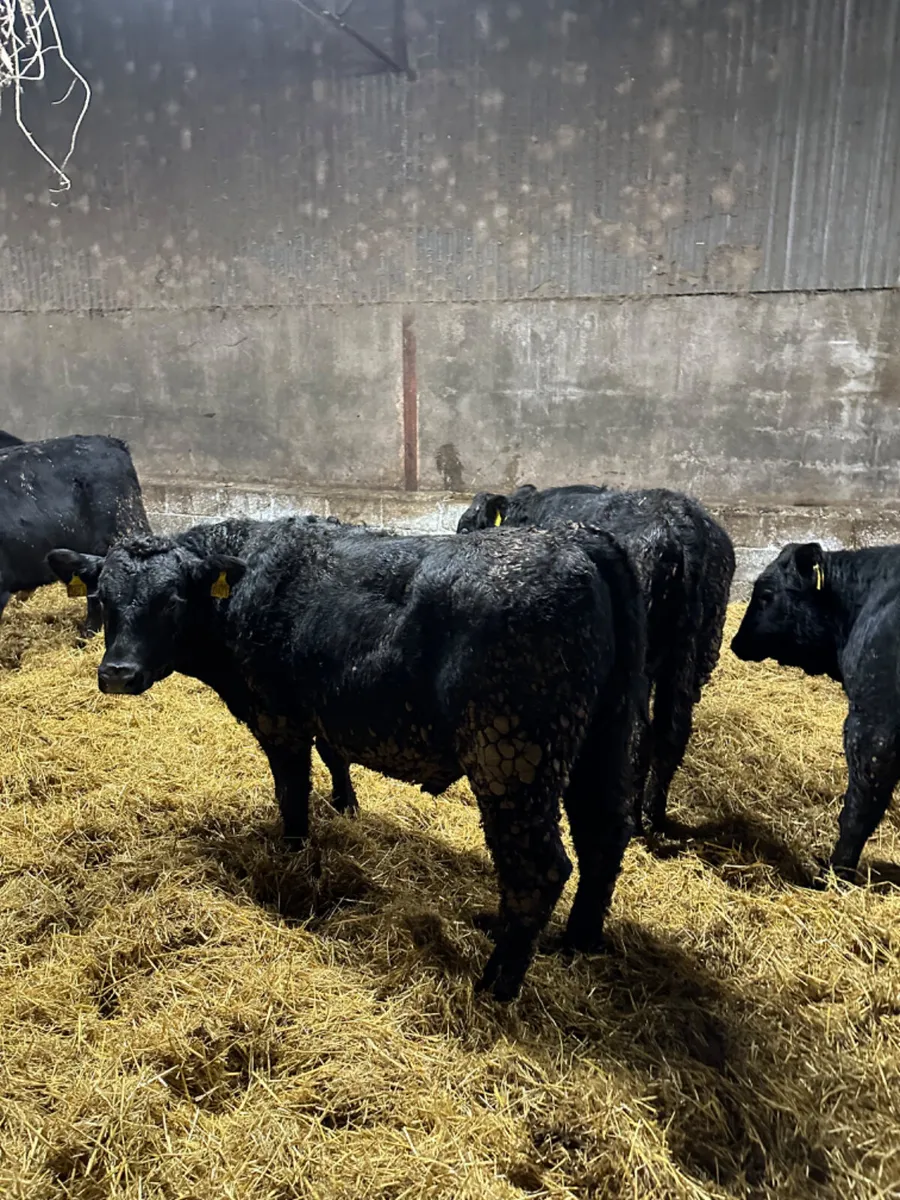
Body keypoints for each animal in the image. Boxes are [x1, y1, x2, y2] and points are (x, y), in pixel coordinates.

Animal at [47, 515, 647, 1001]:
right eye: (102, 598)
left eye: (170, 601)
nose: (117, 673)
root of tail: (575, 540)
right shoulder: (324, 707)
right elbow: (334, 757)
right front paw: (346, 805)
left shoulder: (277, 715)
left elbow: (292, 793)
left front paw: (292, 856)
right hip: (604, 737)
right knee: (604, 835)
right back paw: (577, 942)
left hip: (514, 753)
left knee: (539, 868)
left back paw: (496, 984)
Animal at [457, 484, 736, 837]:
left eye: (466, 529)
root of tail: (679, 524)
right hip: (697, 653)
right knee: (673, 731)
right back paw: (654, 817)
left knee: (639, 735)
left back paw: (632, 821)